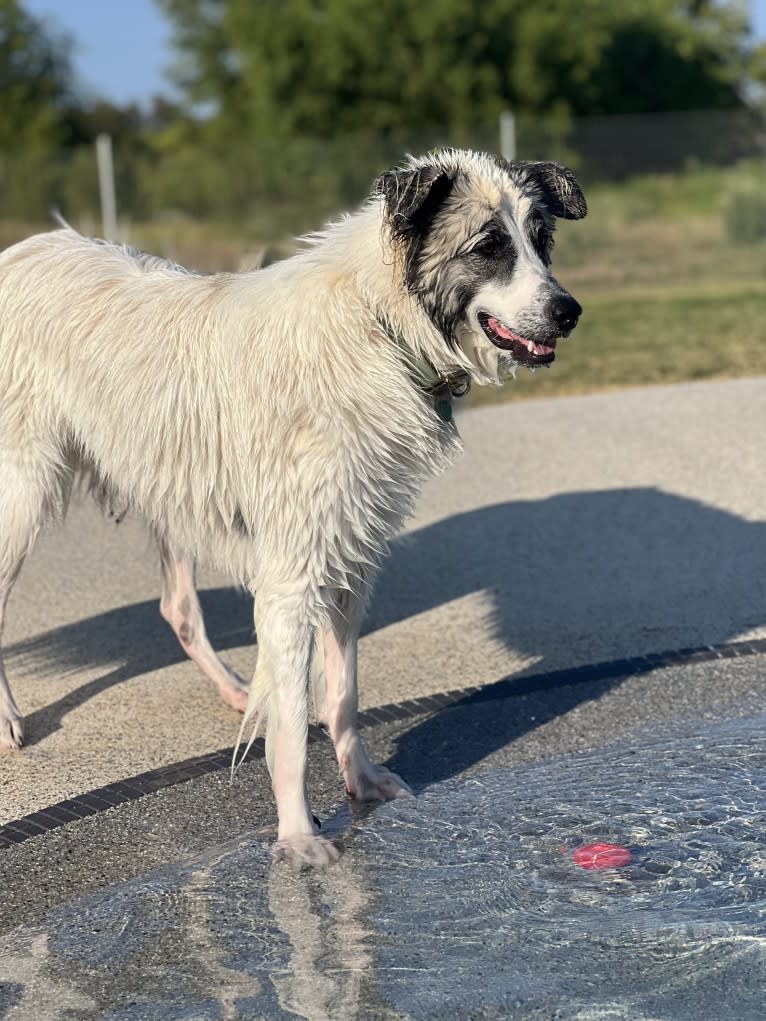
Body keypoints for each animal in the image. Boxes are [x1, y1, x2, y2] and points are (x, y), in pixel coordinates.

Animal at [0, 146, 588, 861]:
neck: (379, 327)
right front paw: (298, 838)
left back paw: (233, 688)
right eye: (488, 246)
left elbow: (342, 695)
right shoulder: (291, 578)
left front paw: (360, 782)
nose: (569, 312)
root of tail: (24, 249)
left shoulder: (348, 562)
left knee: (179, 609)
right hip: (23, 491)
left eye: (541, 241)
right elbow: (290, 723)